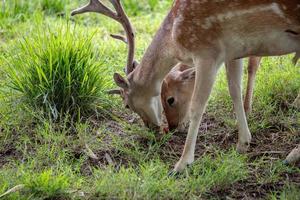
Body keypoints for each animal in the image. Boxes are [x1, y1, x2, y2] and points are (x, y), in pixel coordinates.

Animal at [72, 0, 300, 173]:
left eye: (127, 105)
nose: (158, 129)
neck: (175, 37)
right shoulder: (234, 52)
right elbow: (234, 90)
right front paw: (243, 144)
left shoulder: (207, 52)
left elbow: (197, 107)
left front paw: (181, 164)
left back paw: (291, 156)